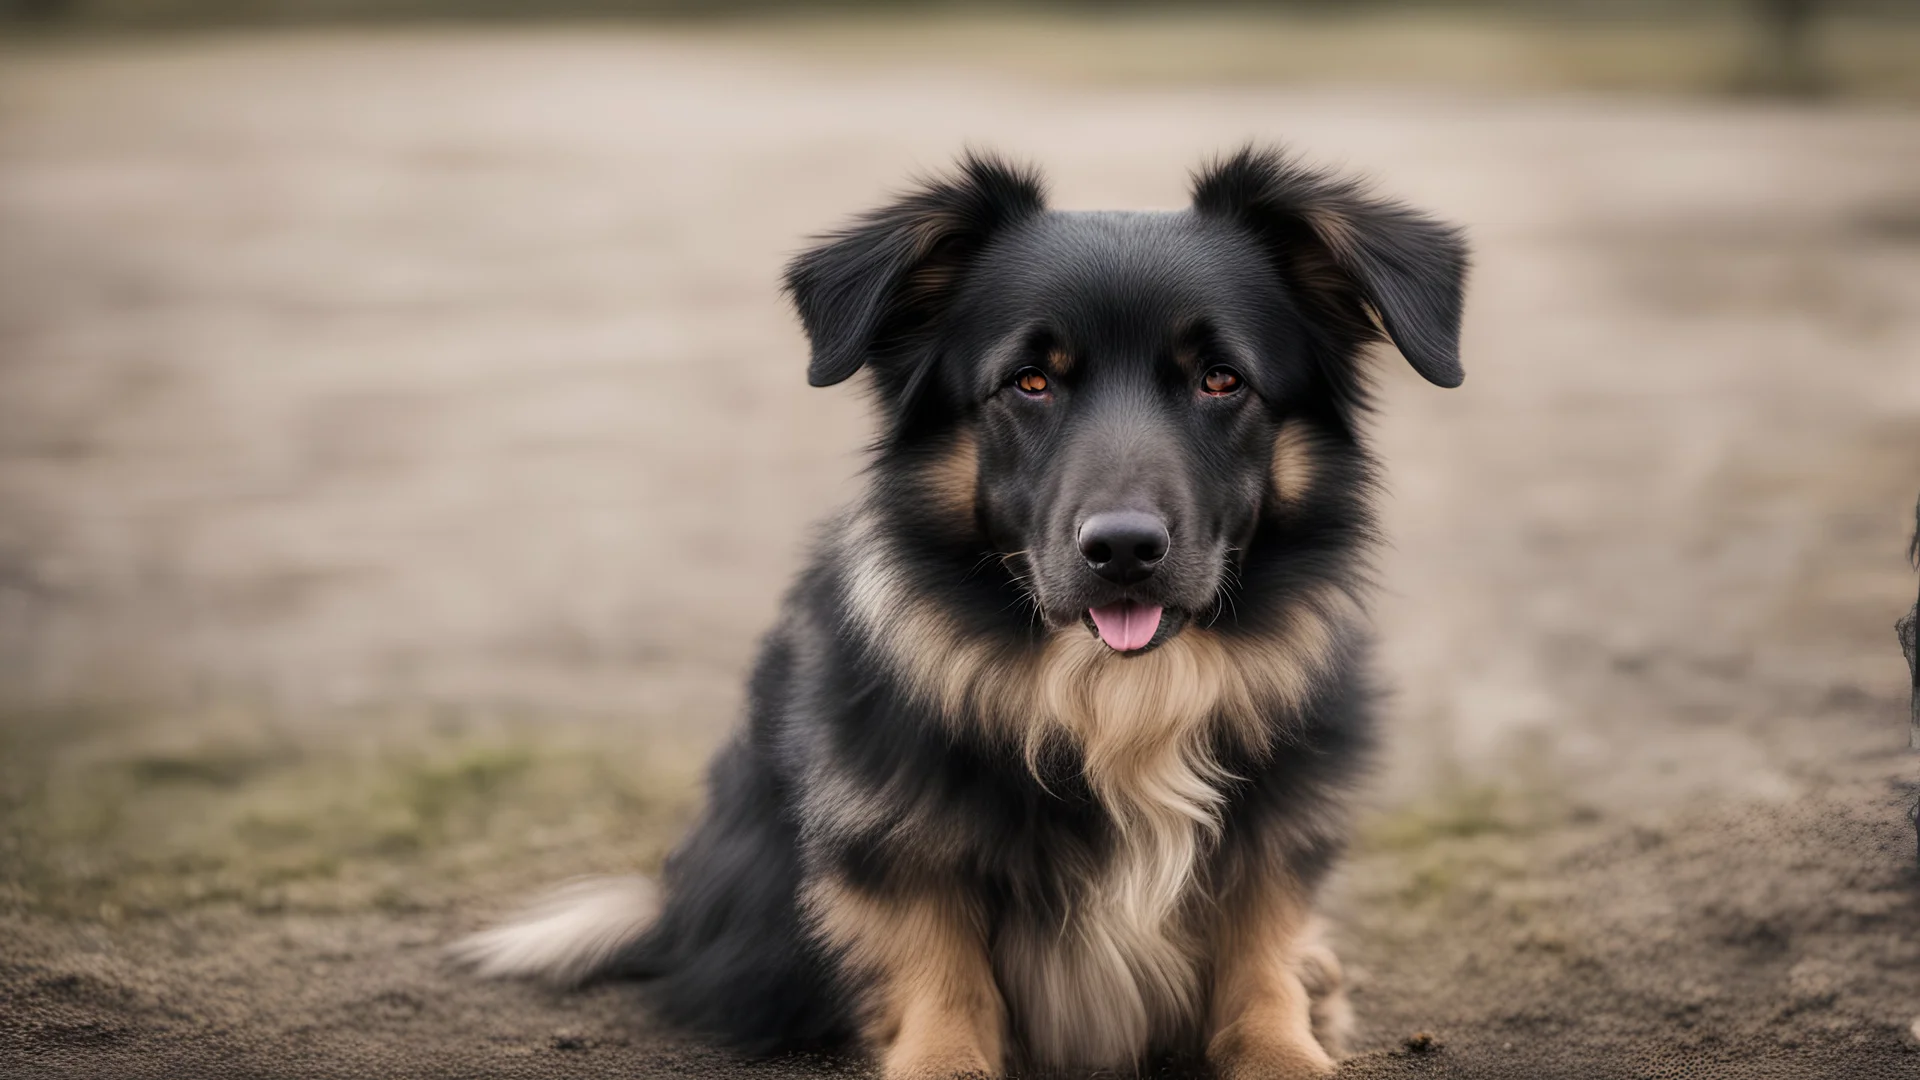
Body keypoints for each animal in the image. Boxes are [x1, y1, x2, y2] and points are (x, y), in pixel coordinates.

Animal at [453, 145, 1466, 1076]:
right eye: (1029, 381)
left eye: (1222, 380)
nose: (1124, 552)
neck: (1118, 695)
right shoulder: (893, 839)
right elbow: (941, 968)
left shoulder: (1271, 840)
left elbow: (1258, 953)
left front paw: (1285, 1038)